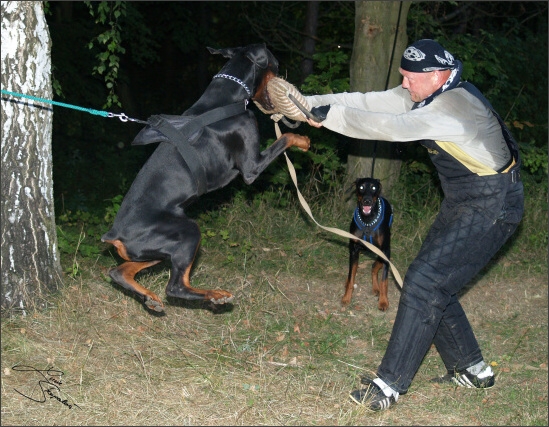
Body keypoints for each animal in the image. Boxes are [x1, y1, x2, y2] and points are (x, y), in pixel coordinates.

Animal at [102, 43, 308, 312]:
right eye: (275, 63)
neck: (227, 97)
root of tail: (115, 235)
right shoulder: (251, 167)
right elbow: (284, 138)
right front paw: (303, 140)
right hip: (187, 233)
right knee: (176, 287)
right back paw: (216, 295)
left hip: (155, 250)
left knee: (119, 271)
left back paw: (150, 298)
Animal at [340, 177, 392, 310]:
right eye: (361, 187)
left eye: (373, 187)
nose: (367, 201)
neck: (367, 221)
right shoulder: (354, 250)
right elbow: (351, 276)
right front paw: (346, 297)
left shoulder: (385, 250)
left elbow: (384, 280)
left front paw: (383, 301)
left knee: (374, 266)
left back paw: (376, 288)